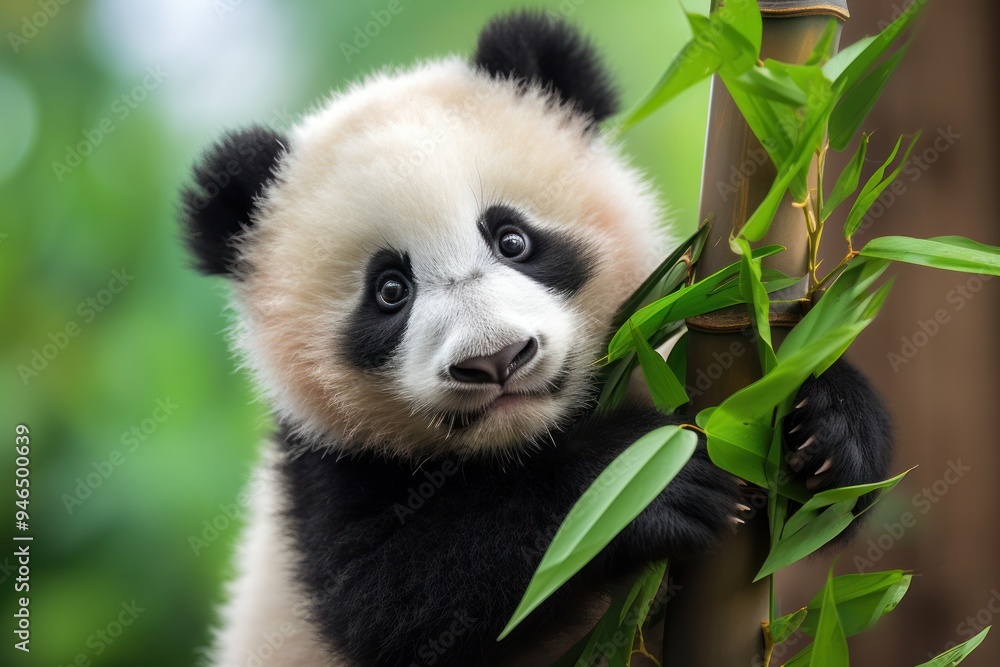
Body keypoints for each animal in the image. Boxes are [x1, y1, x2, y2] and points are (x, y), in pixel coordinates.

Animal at [181, 11, 892, 667]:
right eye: (389, 290)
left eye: (512, 239)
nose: (496, 359)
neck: (526, 442)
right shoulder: (323, 470)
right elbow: (396, 598)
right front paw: (645, 479)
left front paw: (828, 429)